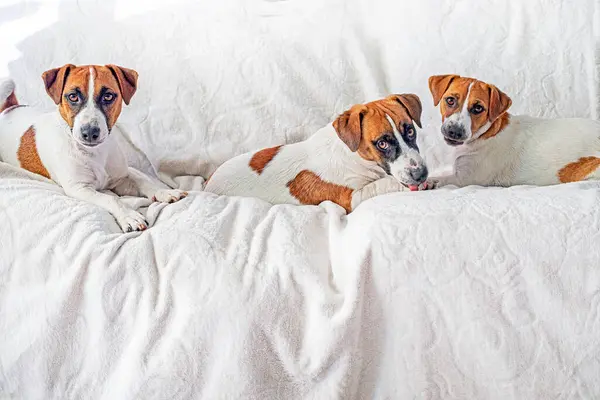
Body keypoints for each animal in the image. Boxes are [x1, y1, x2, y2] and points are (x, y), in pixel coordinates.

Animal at [0, 64, 186, 233]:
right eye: (73, 96)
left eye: (108, 96)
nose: (89, 132)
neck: (95, 154)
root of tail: (8, 109)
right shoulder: (79, 189)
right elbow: (111, 199)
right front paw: (128, 216)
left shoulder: (121, 178)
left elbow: (143, 180)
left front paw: (163, 192)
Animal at [204, 94, 428, 212]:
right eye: (381, 143)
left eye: (410, 130)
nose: (421, 174)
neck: (353, 157)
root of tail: (208, 183)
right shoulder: (352, 199)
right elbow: (383, 184)